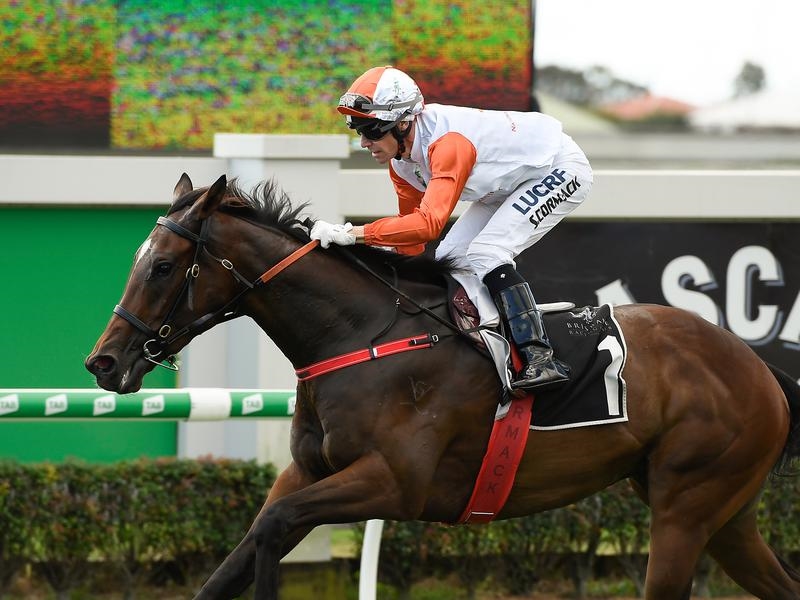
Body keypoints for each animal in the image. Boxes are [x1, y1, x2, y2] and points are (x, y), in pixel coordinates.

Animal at [85, 174, 800, 600]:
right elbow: (242, 553)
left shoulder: (396, 483)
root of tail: (757, 366)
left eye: (163, 266)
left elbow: (274, 530)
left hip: (687, 504)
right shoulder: (306, 474)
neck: (361, 335)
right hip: (724, 513)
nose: (103, 363)